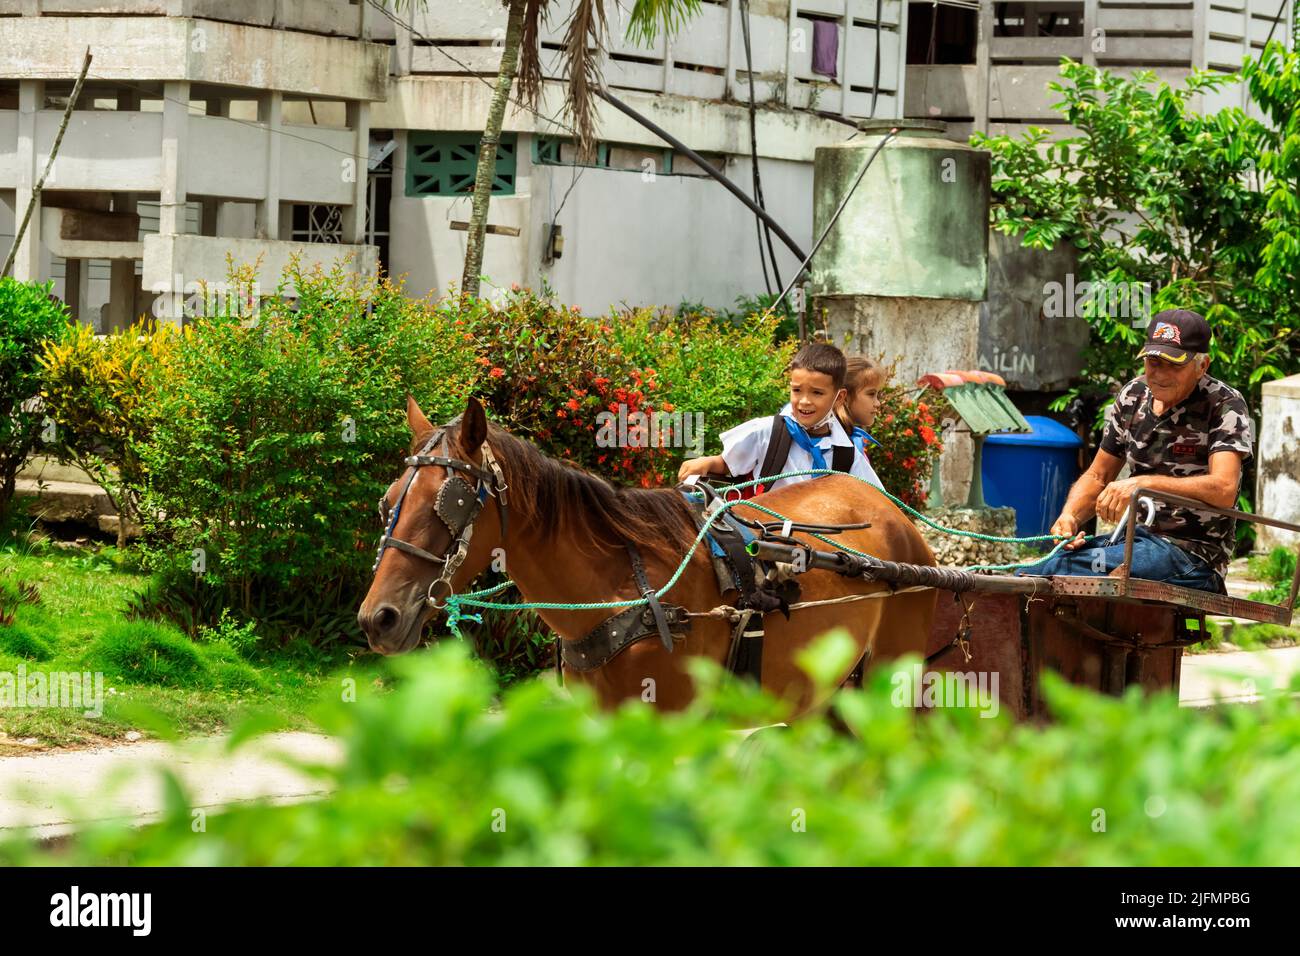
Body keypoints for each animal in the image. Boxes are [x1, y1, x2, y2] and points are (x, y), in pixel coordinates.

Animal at [358, 395, 935, 717]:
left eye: (447, 507)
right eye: (388, 502)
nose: (377, 618)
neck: (623, 588)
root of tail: (884, 506)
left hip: (892, 680)